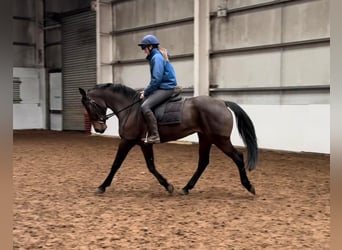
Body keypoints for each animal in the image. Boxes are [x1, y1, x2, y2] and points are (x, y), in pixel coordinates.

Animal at [79, 83, 258, 196]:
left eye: (89, 105)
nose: (99, 129)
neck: (130, 109)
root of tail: (222, 102)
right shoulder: (144, 143)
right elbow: (151, 166)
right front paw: (168, 185)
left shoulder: (127, 140)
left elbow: (116, 164)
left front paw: (102, 186)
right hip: (206, 138)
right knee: (203, 162)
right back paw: (186, 188)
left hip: (220, 139)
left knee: (238, 157)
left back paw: (249, 186)